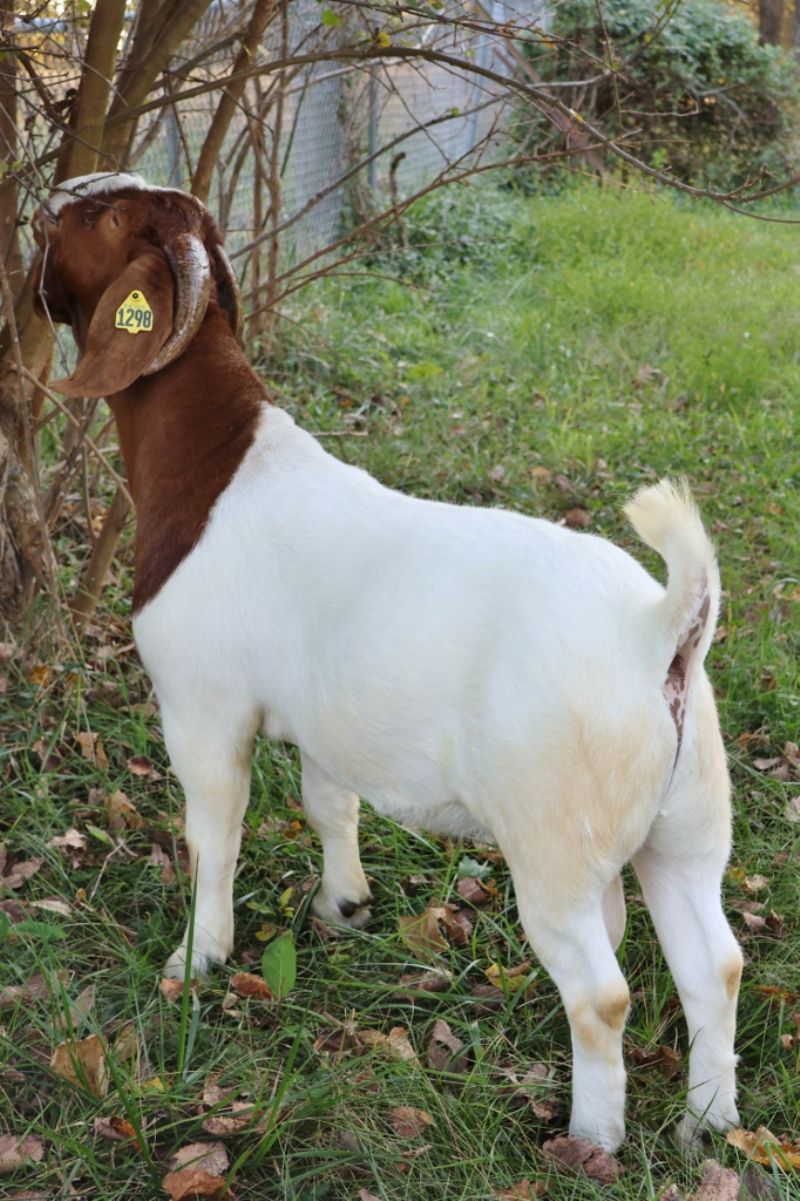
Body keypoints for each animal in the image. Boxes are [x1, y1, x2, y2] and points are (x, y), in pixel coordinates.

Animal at [32, 171, 739, 1152]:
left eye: (102, 220)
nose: (48, 197)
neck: (217, 471)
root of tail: (661, 629)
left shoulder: (203, 708)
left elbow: (214, 833)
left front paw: (198, 956)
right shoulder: (327, 721)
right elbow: (331, 804)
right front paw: (346, 906)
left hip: (555, 846)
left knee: (602, 994)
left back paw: (591, 1140)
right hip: (687, 831)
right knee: (717, 965)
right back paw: (708, 1125)